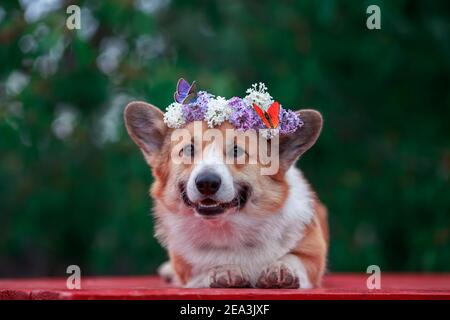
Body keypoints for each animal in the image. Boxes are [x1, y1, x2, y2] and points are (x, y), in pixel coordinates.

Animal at [123, 99, 326, 288]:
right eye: (188, 149)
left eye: (236, 151)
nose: (207, 183)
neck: (227, 228)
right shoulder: (188, 270)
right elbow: (206, 267)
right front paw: (226, 270)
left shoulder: (313, 254)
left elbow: (294, 258)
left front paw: (281, 269)